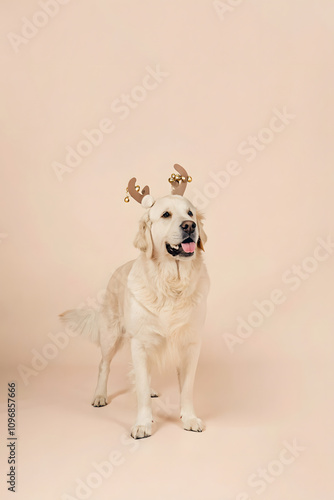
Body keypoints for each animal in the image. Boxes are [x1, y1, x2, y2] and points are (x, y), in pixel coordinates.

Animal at [60, 165, 209, 438]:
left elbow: (187, 388)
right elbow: (140, 390)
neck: (171, 284)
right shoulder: (140, 342)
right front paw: (142, 423)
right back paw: (100, 395)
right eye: (165, 215)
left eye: (190, 212)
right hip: (111, 336)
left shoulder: (191, 343)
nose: (190, 226)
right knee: (103, 365)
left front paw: (190, 418)